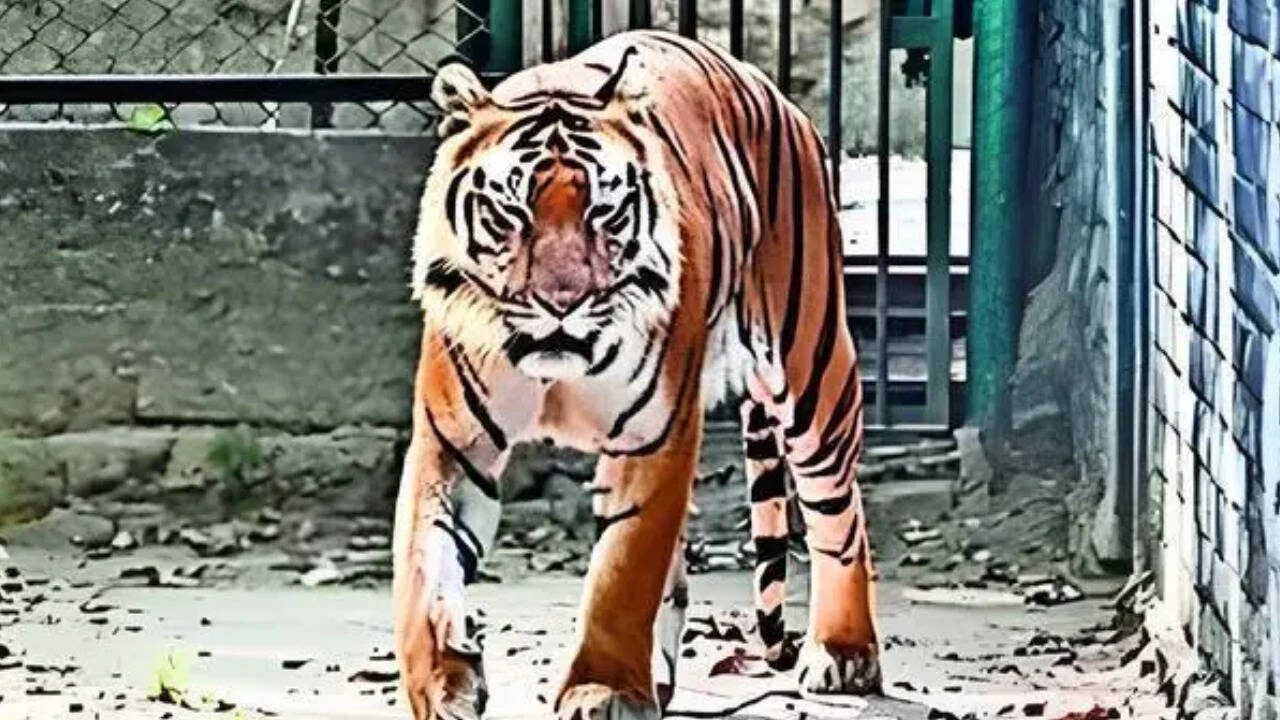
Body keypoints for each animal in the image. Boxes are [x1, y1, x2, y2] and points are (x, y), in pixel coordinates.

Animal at [393, 29, 879, 720]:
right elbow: (424, 560)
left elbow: (623, 569)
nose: (561, 301)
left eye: (605, 212)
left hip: (812, 371)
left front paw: (602, 688)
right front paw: (442, 682)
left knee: (839, 517)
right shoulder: (452, 443)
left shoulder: (655, 435)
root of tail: (777, 95)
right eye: (510, 213)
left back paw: (843, 651)